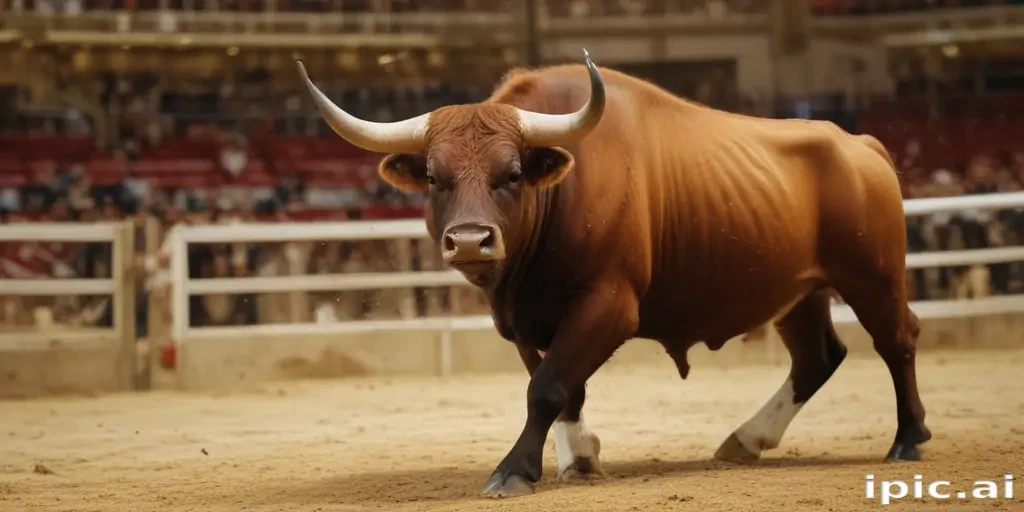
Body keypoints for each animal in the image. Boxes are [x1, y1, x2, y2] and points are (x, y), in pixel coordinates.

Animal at [297, 50, 931, 498]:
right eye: (434, 176)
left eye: (512, 174)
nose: (471, 241)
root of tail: (860, 144)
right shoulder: (525, 321)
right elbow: (563, 385)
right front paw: (579, 457)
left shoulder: (609, 305)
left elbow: (547, 386)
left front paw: (515, 470)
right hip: (796, 293)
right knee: (817, 357)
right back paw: (747, 438)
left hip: (873, 277)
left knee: (897, 341)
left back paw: (907, 438)